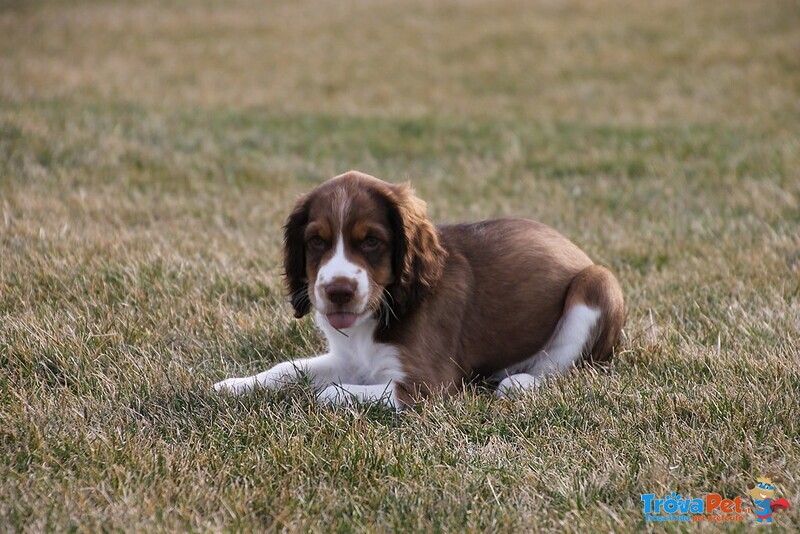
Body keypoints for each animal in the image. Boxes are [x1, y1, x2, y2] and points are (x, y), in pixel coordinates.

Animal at [212, 172, 624, 410]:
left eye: (372, 241)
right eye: (316, 241)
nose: (338, 291)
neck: (377, 315)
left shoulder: (427, 384)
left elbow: (329, 391)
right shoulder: (350, 359)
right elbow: (288, 369)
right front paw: (235, 386)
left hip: (598, 284)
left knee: (563, 367)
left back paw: (519, 382)